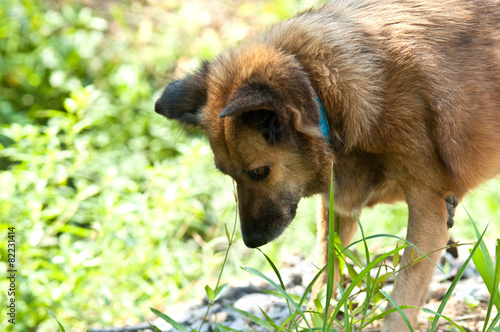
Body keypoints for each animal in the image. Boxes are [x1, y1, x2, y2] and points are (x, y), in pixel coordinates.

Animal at [154, 1, 498, 330]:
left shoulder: (429, 213)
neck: (324, 91)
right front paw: (311, 320)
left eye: (259, 172)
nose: (251, 242)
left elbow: (402, 297)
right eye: (228, 175)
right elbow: (324, 273)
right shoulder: (335, 207)